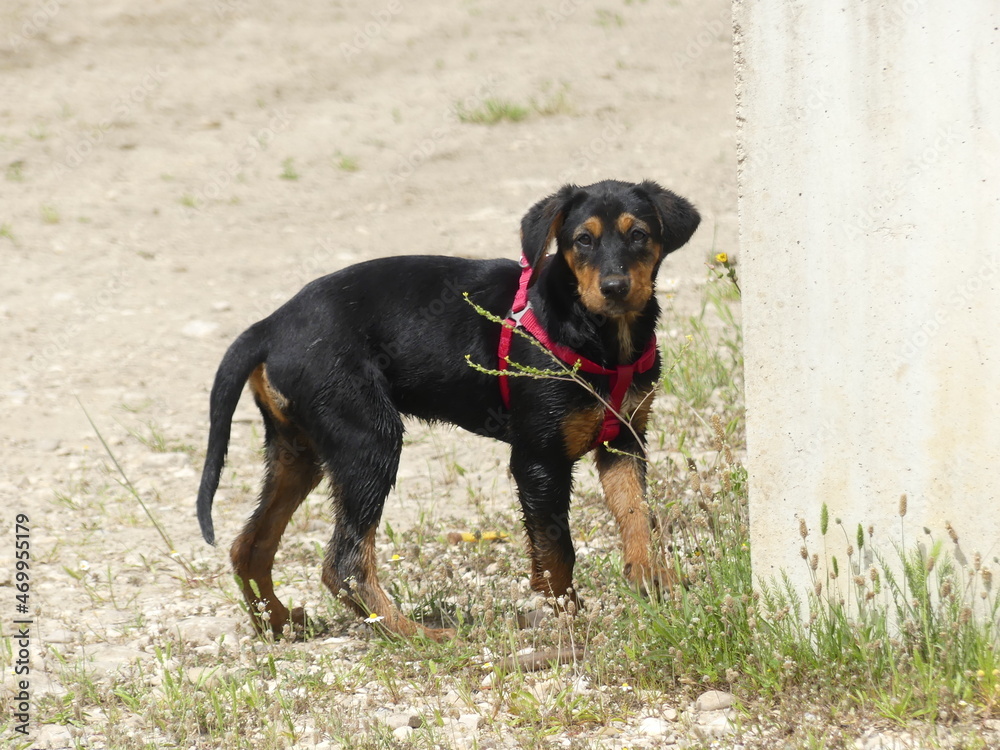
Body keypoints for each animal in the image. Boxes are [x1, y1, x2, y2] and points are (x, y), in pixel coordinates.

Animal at [195, 181, 696, 640]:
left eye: (639, 235)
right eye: (583, 240)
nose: (615, 288)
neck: (603, 335)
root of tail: (270, 325)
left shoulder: (624, 442)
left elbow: (638, 518)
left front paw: (655, 587)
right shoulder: (538, 459)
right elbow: (558, 552)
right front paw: (568, 621)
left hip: (300, 450)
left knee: (250, 546)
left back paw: (278, 625)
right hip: (369, 439)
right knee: (344, 564)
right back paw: (416, 634)